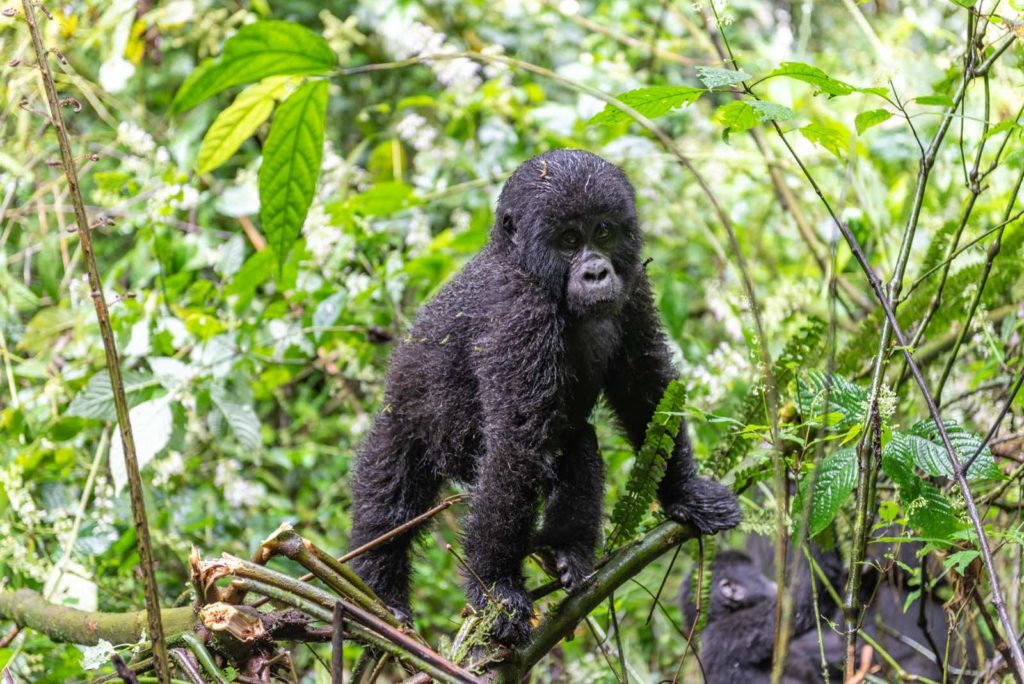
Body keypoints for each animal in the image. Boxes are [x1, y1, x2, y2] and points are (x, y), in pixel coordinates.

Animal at [349, 149, 741, 646]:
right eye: (569, 240)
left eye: (603, 231)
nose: (596, 271)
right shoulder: (520, 313)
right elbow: (514, 449)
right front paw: (496, 587)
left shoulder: (633, 285)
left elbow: (645, 390)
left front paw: (684, 491)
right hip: (408, 429)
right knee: (388, 503)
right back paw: (378, 597)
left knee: (576, 440)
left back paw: (563, 550)